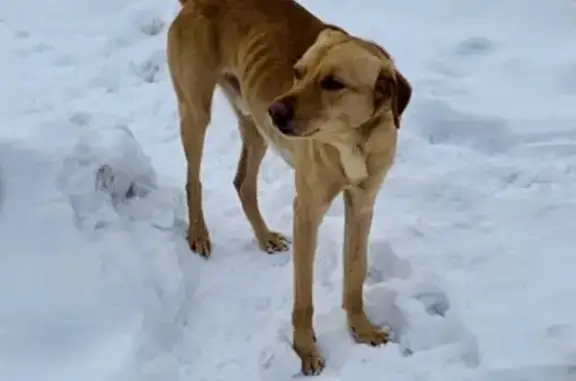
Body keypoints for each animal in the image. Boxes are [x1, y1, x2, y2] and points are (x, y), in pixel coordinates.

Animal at [164, 0, 412, 374]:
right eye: (298, 72)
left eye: (333, 83)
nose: (274, 109)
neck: (351, 143)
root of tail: (195, 3)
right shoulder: (307, 212)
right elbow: (303, 297)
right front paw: (305, 349)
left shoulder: (362, 206)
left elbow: (355, 277)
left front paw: (361, 328)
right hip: (197, 111)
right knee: (193, 180)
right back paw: (198, 233)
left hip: (252, 122)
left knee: (242, 183)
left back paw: (264, 236)